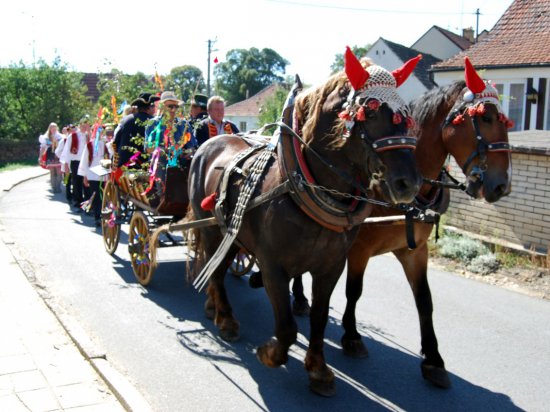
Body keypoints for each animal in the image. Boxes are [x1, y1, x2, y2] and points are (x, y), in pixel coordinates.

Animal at [188, 50, 424, 398]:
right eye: (370, 111)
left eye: (406, 115)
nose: (409, 183)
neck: (302, 183)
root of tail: (211, 141)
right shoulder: (273, 266)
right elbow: (286, 327)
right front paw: (270, 353)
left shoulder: (331, 266)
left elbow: (318, 317)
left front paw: (318, 369)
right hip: (210, 228)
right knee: (214, 269)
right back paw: (225, 319)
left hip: (233, 234)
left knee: (218, 265)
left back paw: (212, 307)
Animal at [292, 55, 516, 390]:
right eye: (486, 119)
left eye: (504, 120)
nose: (502, 185)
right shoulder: (358, 250)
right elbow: (354, 290)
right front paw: (351, 336)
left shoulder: (415, 251)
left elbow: (425, 301)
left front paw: (433, 359)